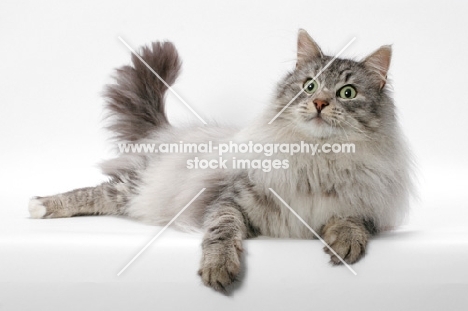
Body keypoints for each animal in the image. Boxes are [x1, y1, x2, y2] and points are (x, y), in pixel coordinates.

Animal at [28, 29, 414, 292]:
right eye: (309, 86)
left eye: (347, 93)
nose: (319, 103)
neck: (317, 159)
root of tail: (169, 134)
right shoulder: (229, 200)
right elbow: (221, 231)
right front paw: (218, 268)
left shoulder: (369, 207)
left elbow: (353, 222)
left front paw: (345, 242)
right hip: (135, 188)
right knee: (97, 192)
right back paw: (41, 205)